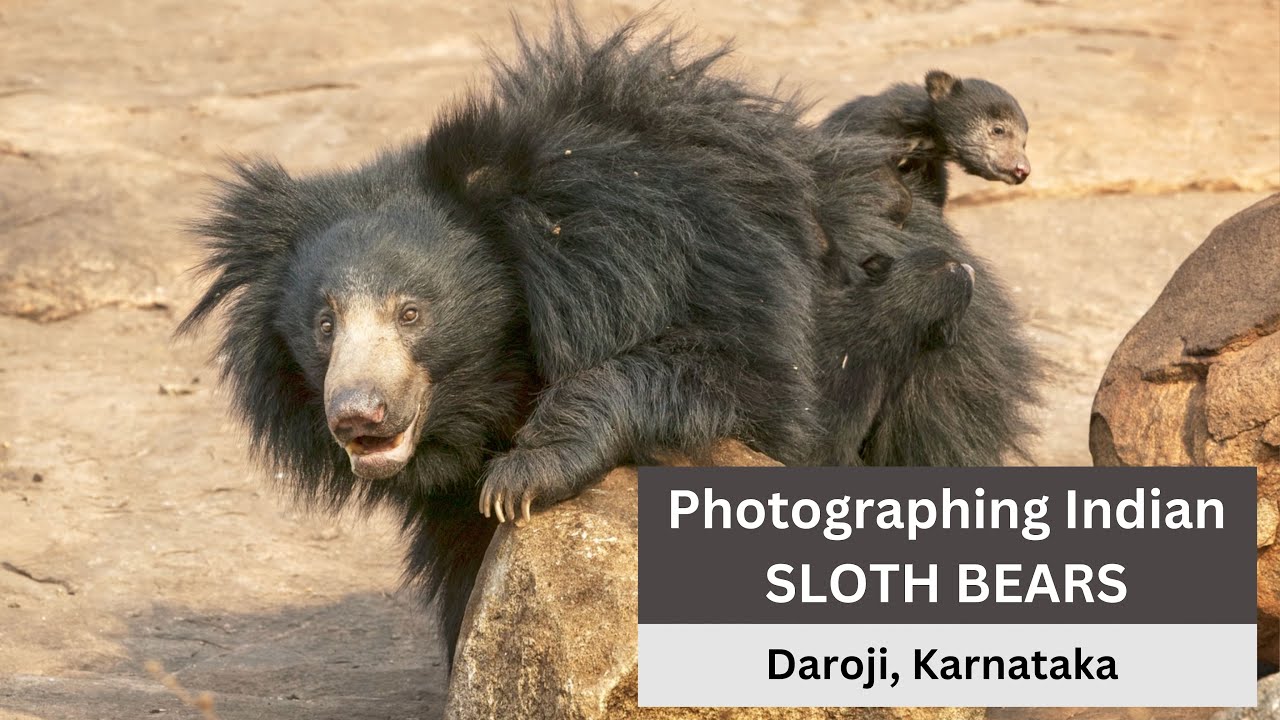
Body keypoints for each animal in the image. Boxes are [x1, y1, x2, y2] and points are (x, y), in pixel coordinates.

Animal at [178, 12, 828, 667]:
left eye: (411, 313)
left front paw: (523, 477)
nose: (357, 416)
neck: (492, 387)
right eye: (325, 324)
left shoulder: (722, 276)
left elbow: (734, 377)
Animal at [820, 70, 1031, 208]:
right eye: (998, 130)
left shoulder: (929, 167)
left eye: (1024, 143)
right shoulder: (868, 129)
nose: (1023, 170)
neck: (927, 137)